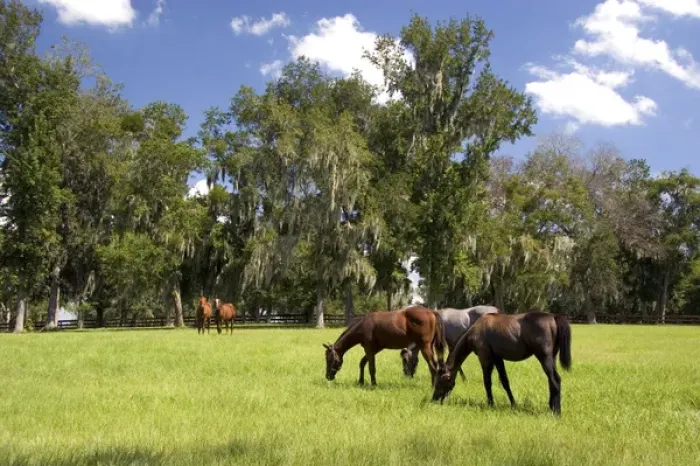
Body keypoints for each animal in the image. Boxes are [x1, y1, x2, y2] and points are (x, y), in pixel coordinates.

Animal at [432, 311, 572, 416]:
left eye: (440, 381)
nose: (433, 399)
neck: (475, 330)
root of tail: (553, 317)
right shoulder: (498, 359)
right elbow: (505, 382)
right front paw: (513, 404)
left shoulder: (485, 358)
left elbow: (487, 382)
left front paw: (490, 404)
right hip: (551, 358)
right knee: (552, 382)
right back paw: (551, 407)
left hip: (544, 358)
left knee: (555, 380)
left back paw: (556, 411)